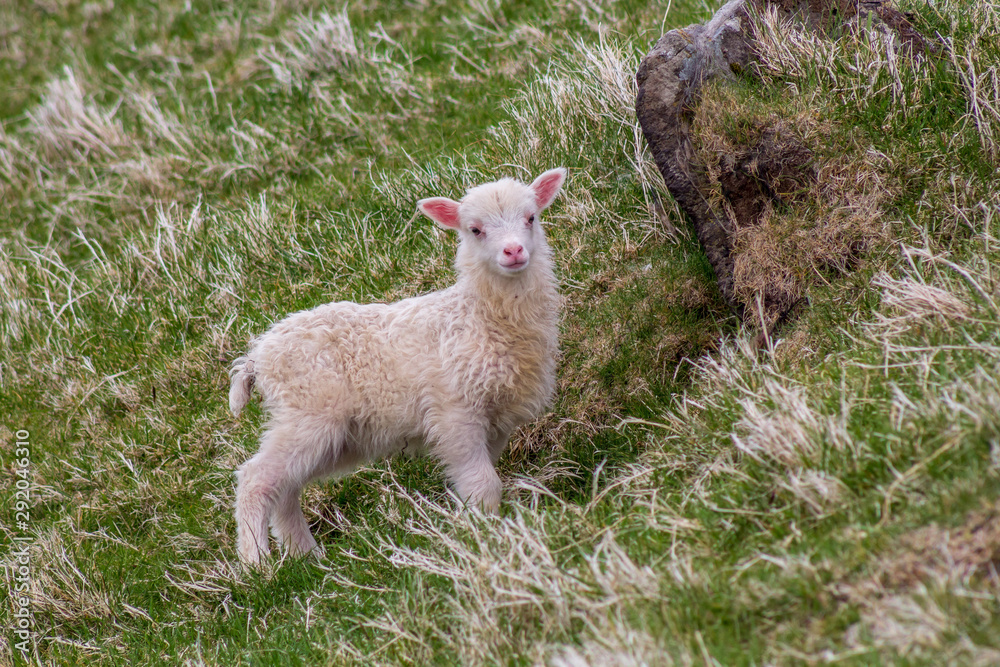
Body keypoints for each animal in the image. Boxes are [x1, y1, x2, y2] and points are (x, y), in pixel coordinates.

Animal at [228, 168, 567, 563]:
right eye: (475, 230)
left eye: (531, 218)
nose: (513, 251)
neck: (481, 317)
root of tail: (258, 356)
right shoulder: (453, 411)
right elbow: (484, 482)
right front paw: (482, 533)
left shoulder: (496, 419)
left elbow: (479, 477)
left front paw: (476, 522)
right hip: (307, 412)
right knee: (256, 478)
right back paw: (257, 563)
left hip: (332, 434)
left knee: (284, 488)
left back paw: (305, 556)